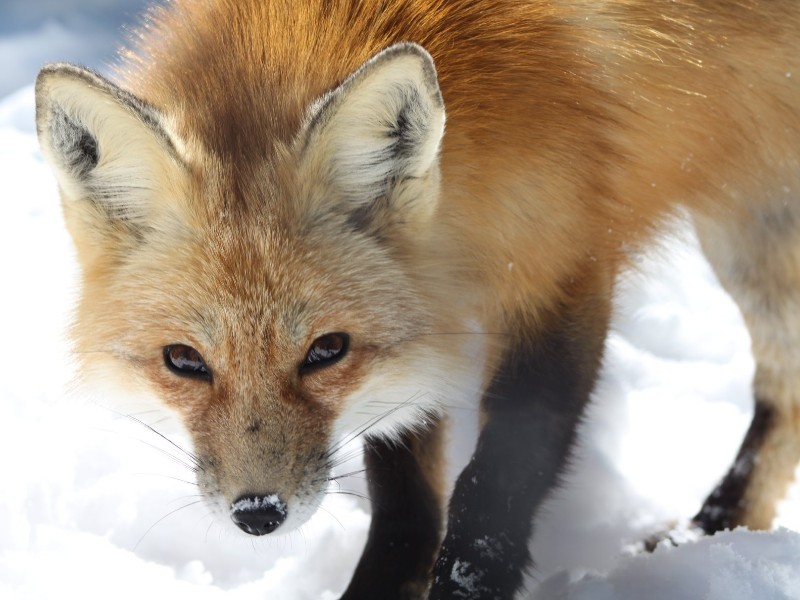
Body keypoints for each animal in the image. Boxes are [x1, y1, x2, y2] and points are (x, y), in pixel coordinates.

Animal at [34, 0, 800, 596]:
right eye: (184, 361)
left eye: (325, 350)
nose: (257, 513)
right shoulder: (419, 323)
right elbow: (403, 490)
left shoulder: (562, 268)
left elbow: (498, 482)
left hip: (758, 224)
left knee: (780, 388)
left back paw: (718, 526)